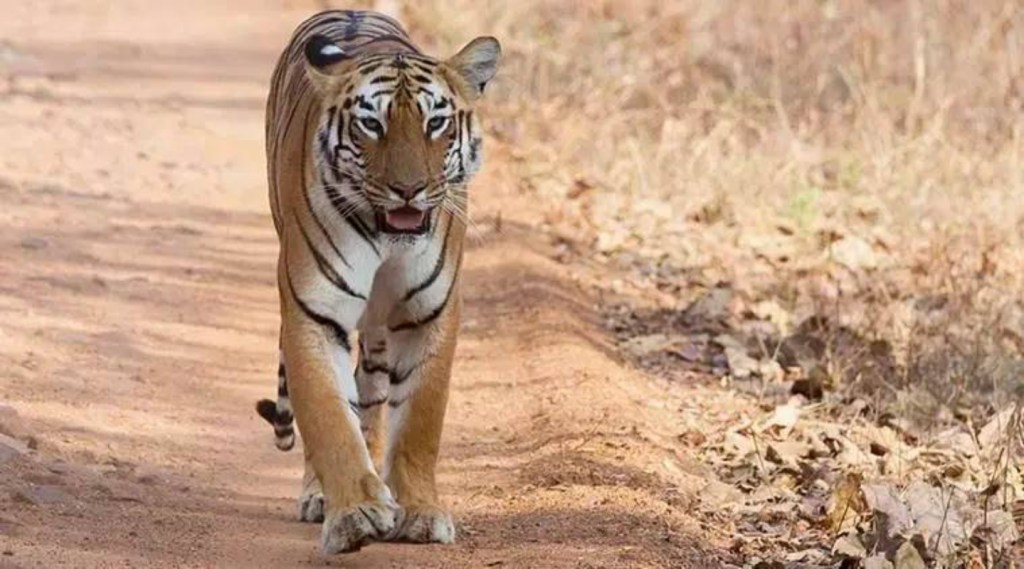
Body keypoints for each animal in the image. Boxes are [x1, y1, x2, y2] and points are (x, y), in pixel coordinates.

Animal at [253, 9, 500, 554]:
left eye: (435, 123)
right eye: (372, 124)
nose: (408, 190)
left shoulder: (430, 314)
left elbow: (419, 423)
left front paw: (420, 512)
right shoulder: (313, 313)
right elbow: (328, 417)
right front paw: (354, 514)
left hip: (379, 330)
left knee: (370, 392)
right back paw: (321, 496)